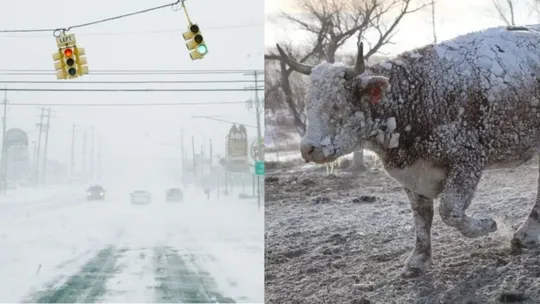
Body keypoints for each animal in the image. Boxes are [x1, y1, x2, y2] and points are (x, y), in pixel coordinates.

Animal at [276, 24, 540, 278]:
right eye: (308, 103)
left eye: (336, 105)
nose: (308, 148)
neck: (415, 95)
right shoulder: (412, 175)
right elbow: (422, 218)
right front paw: (418, 261)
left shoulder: (468, 160)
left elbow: (449, 211)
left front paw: (487, 224)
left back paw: (525, 234)